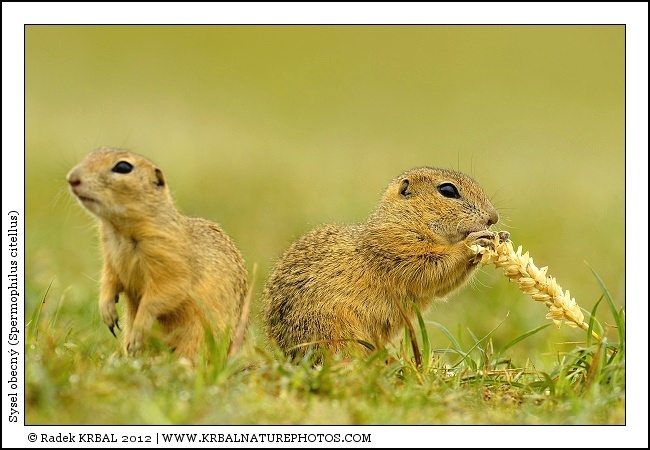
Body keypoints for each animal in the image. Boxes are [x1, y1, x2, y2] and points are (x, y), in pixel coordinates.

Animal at [67, 147, 248, 362]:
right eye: (91, 154)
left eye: (123, 167)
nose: (72, 179)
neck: (119, 231)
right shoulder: (111, 262)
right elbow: (109, 282)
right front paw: (107, 312)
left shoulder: (169, 264)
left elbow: (159, 297)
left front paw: (137, 334)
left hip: (197, 336)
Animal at [262, 166, 508, 359]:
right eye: (448, 190)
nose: (493, 218)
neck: (404, 220)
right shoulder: (395, 246)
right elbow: (430, 267)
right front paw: (473, 242)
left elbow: (442, 286)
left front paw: (499, 239)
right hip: (334, 327)